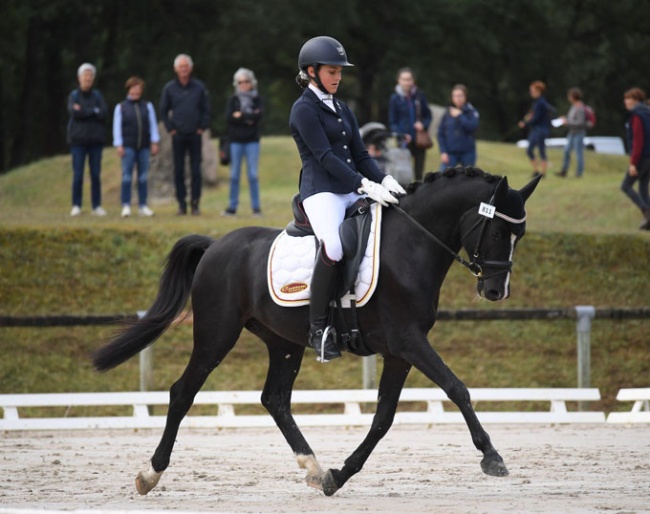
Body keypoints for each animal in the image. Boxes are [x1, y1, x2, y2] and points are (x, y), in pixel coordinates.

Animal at [91, 166, 536, 494]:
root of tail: (216, 245)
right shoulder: (409, 341)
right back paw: (150, 474)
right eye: (498, 231)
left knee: (275, 399)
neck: (412, 244)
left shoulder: (398, 351)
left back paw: (314, 467)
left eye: (520, 234)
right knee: (182, 392)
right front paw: (492, 457)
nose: (496, 290)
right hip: (217, 334)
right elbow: (457, 388)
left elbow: (383, 418)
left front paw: (338, 476)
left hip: (284, 342)